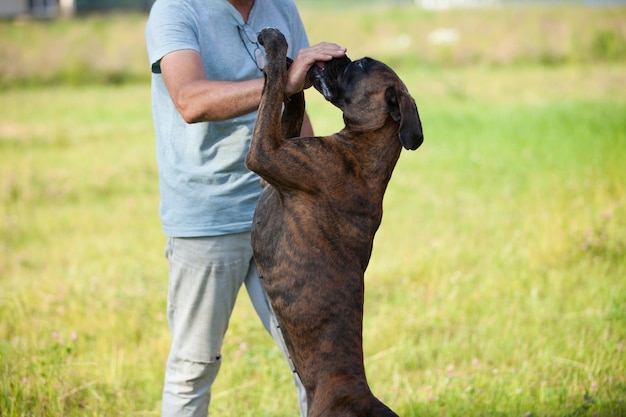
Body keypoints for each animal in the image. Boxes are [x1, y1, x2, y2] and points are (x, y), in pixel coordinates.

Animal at [244, 28, 424, 416]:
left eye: (360, 64)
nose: (338, 56)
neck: (363, 148)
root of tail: (360, 395)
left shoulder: (265, 152)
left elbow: (273, 90)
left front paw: (276, 47)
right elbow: (289, 100)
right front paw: (291, 68)